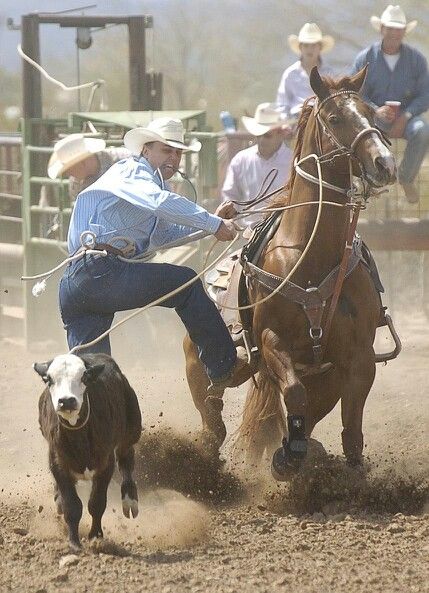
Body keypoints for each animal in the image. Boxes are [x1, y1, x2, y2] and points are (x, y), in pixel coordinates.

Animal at [182, 67, 396, 478]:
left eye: (372, 114)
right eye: (335, 118)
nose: (385, 164)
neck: (310, 256)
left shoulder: (358, 358)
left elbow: (351, 426)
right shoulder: (271, 340)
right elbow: (294, 393)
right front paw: (287, 457)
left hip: (322, 375)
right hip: (204, 364)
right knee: (212, 417)